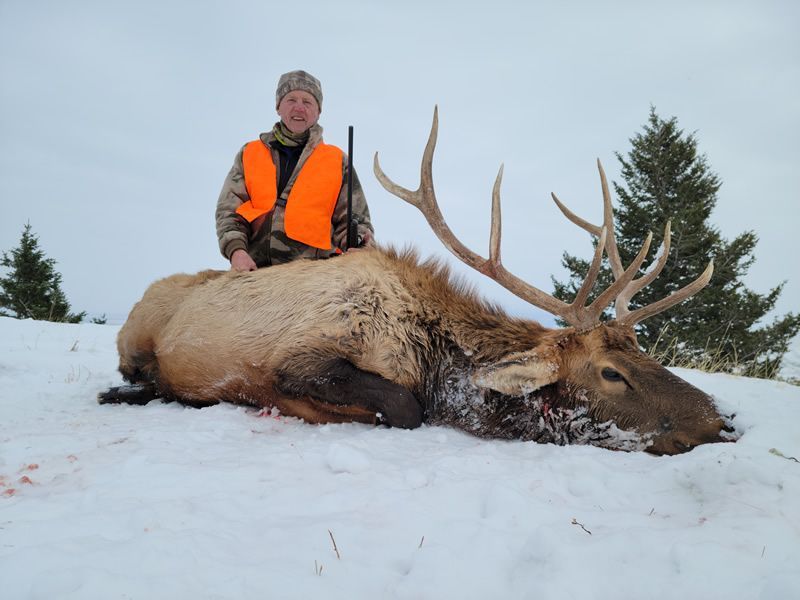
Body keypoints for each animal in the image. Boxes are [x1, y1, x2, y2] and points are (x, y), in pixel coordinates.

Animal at [99, 108, 734, 455]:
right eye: (610, 373)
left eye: (644, 352)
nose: (722, 420)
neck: (434, 360)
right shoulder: (298, 354)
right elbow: (405, 407)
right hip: (135, 335)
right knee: (138, 372)